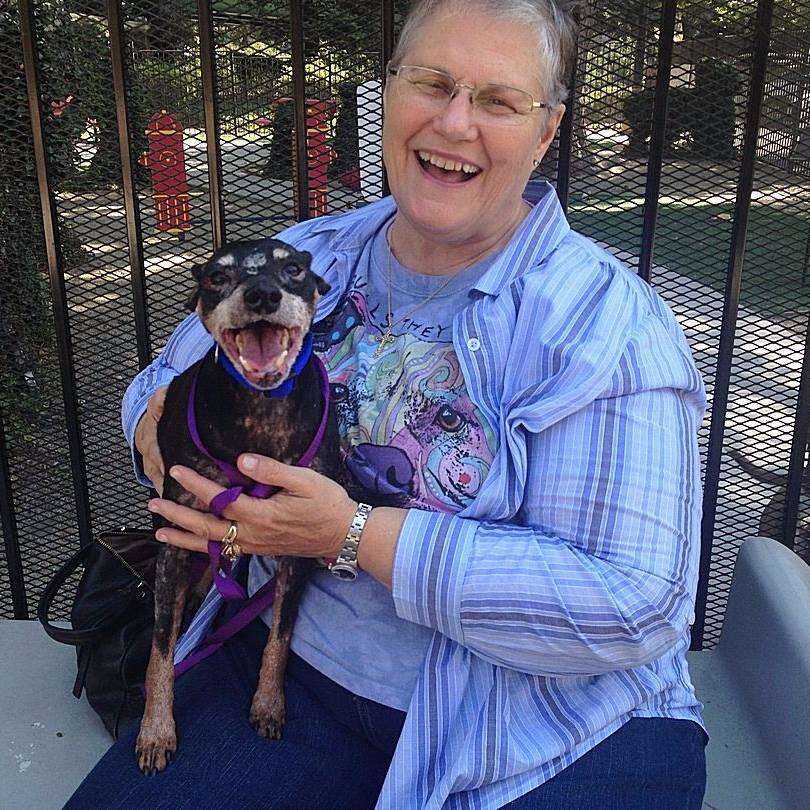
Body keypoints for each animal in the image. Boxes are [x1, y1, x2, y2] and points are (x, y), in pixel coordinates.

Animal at [137, 235, 340, 772]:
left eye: (294, 269)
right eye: (216, 276)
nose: (262, 295)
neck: (260, 413)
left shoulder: (299, 547)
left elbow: (280, 638)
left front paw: (268, 703)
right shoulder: (174, 542)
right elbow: (160, 649)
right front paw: (155, 730)